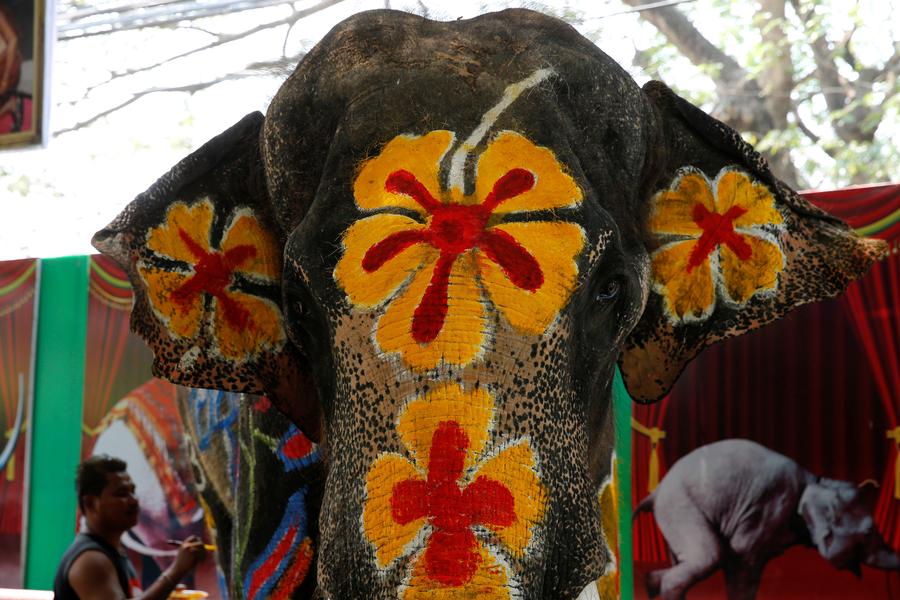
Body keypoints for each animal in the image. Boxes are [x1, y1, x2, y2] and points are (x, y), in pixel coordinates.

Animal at [632, 436, 900, 600]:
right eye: (867, 532)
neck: (816, 481)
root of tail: (656, 491)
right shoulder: (767, 509)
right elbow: (741, 560)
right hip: (680, 506)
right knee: (707, 557)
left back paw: (650, 584)